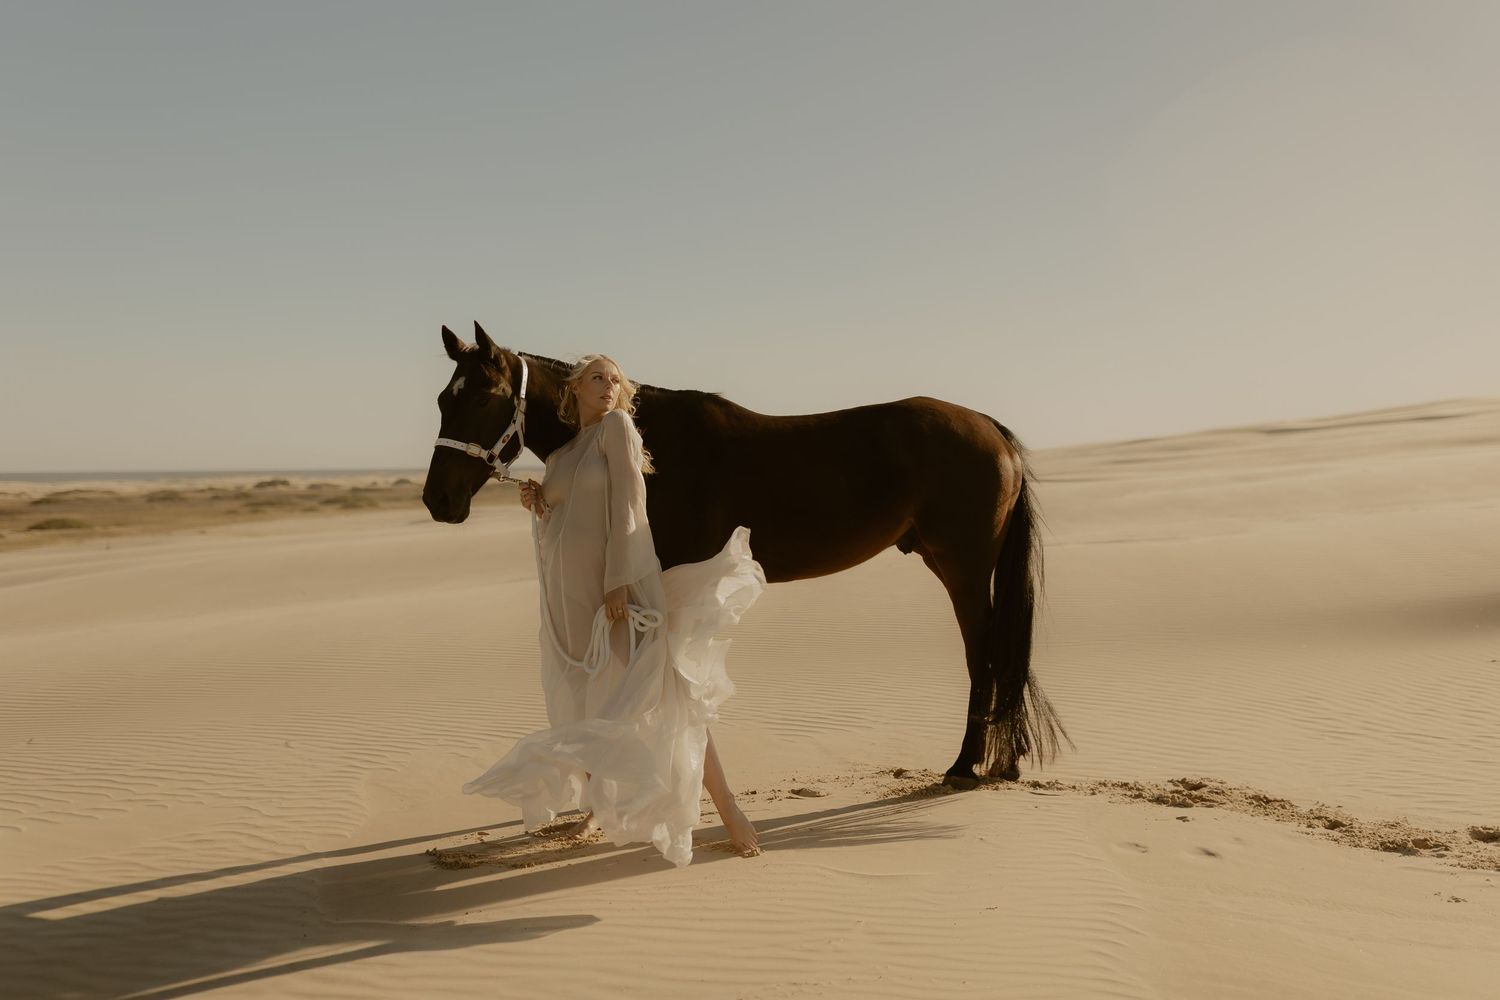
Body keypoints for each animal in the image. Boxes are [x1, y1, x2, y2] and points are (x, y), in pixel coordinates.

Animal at [422, 322, 1067, 785]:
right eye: (443, 400)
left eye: (485, 397)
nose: (437, 499)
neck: (650, 445)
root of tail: (987, 426)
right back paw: (1002, 761)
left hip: (963, 569)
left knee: (984, 655)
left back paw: (965, 767)